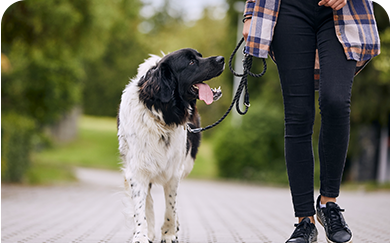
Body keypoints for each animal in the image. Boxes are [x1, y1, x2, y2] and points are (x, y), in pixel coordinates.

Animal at [117, 48, 224, 242]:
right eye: (191, 62)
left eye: (200, 56)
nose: (222, 59)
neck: (161, 116)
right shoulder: (136, 171)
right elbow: (141, 207)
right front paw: (141, 235)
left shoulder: (174, 171)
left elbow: (170, 206)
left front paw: (169, 234)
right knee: (148, 200)